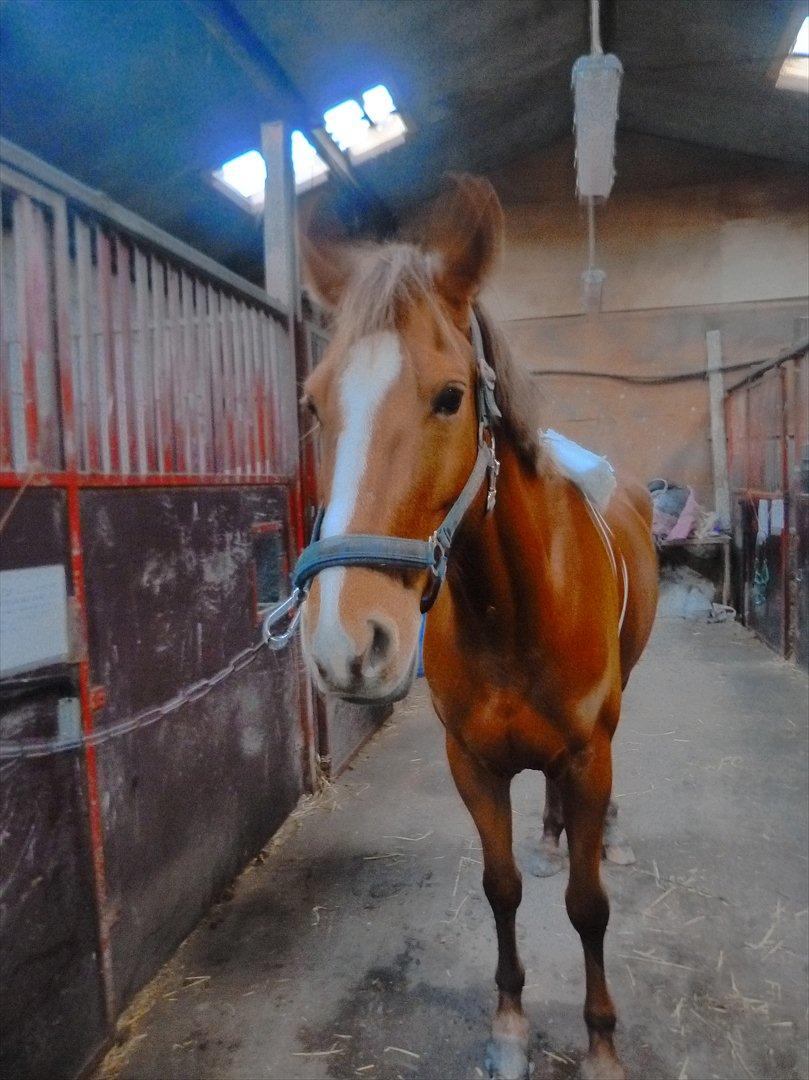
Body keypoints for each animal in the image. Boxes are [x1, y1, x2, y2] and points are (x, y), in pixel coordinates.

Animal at [295, 176, 658, 1080]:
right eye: (311, 401)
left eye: (450, 396)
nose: (346, 643)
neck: (516, 610)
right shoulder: (472, 763)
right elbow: (502, 888)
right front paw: (509, 1026)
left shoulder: (587, 754)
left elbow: (588, 905)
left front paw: (600, 1042)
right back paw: (553, 834)